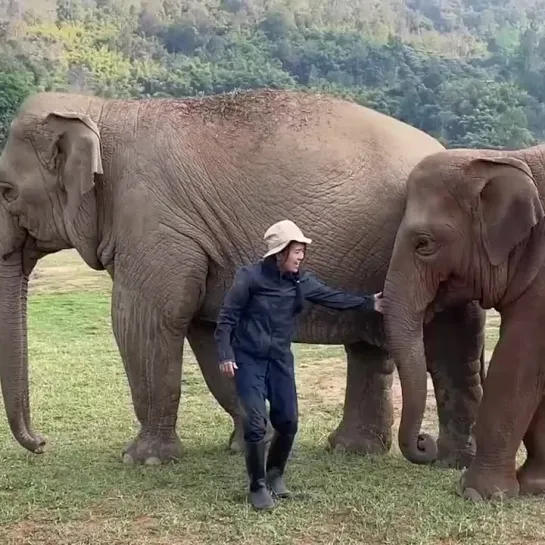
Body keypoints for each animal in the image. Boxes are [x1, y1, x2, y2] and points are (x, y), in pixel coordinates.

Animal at [0, 89, 484, 468]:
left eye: (5, 191)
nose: (41, 443)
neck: (102, 109)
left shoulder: (155, 226)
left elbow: (143, 322)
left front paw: (142, 459)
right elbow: (210, 332)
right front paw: (251, 441)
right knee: (369, 345)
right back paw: (352, 450)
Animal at [382, 146, 545, 502]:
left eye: (423, 243)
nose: (424, 442)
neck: (507, 158)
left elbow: (519, 359)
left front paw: (477, 493)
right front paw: (534, 486)